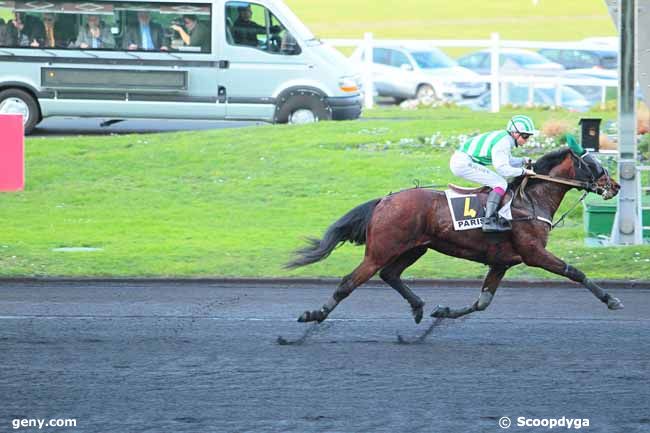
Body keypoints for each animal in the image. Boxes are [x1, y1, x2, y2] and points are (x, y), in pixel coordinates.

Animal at [286, 147, 620, 322]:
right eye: (594, 165)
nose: (615, 186)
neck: (529, 201)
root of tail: (385, 200)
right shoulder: (534, 253)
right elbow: (575, 272)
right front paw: (611, 299)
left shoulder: (502, 262)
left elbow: (482, 302)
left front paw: (444, 311)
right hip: (380, 250)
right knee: (349, 282)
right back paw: (314, 314)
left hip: (414, 248)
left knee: (390, 275)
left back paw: (419, 307)